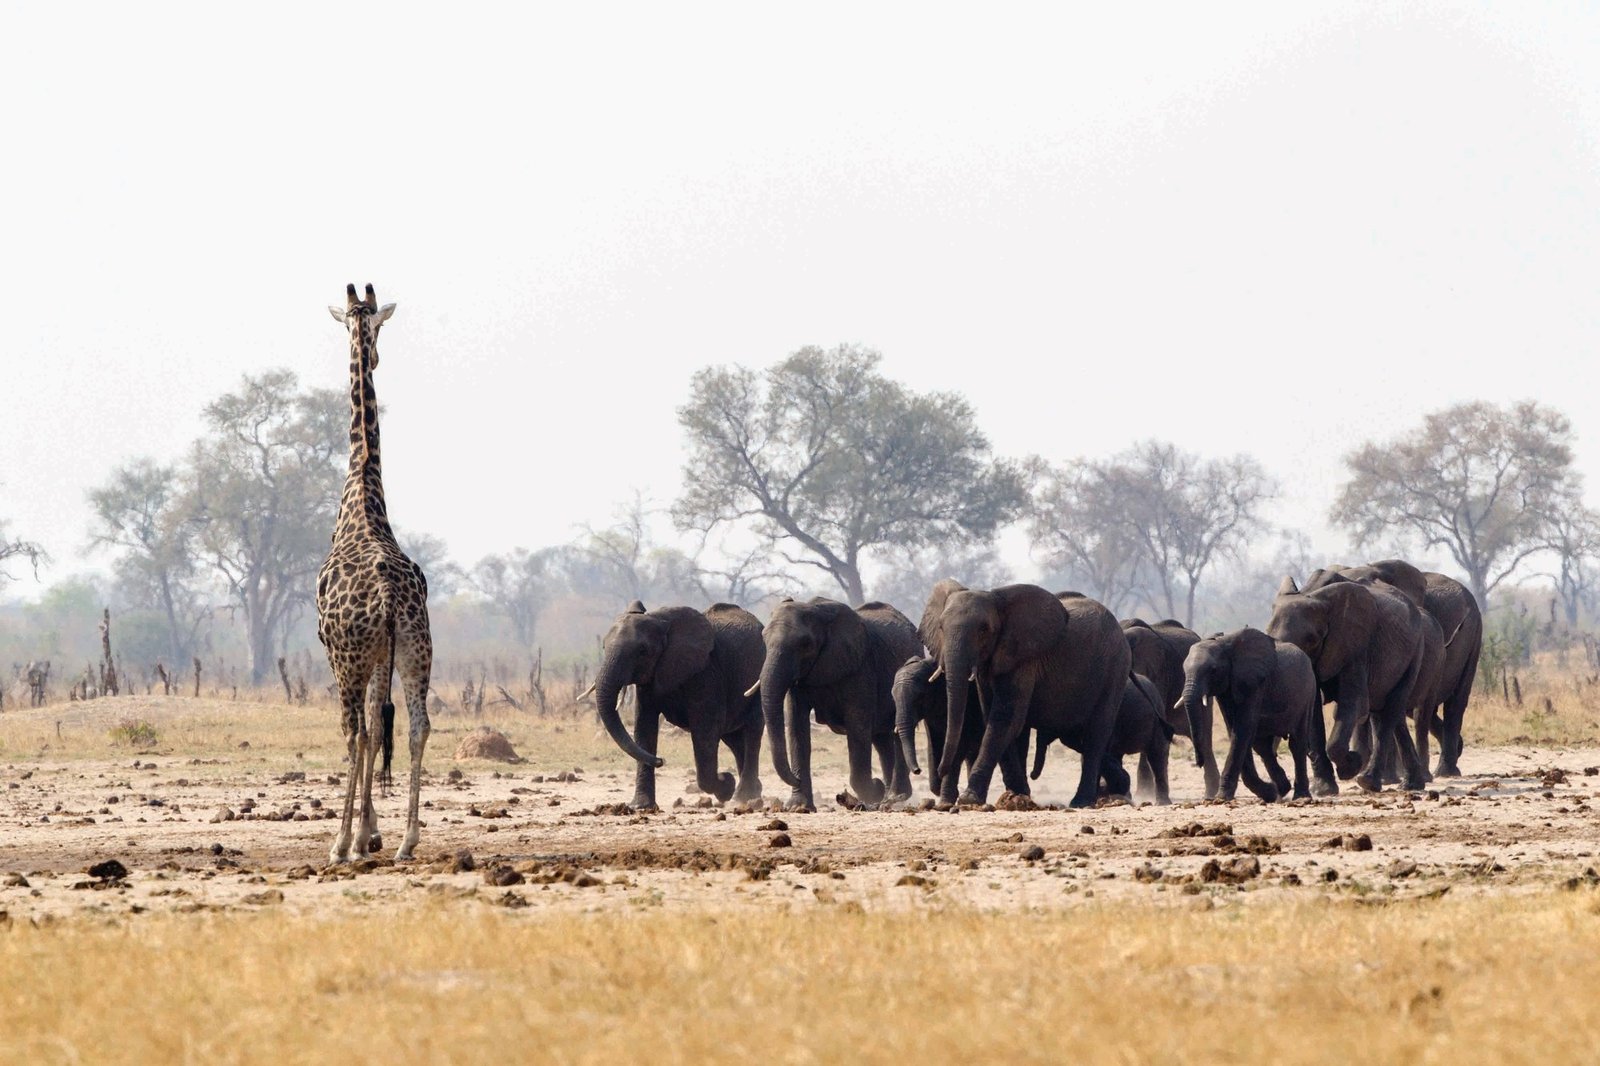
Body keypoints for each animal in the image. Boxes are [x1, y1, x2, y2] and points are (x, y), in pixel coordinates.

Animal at [593, 601, 765, 810]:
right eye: (603, 647)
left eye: (642, 651)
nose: (660, 760)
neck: (660, 621)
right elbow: (644, 727)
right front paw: (640, 807)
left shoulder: (706, 672)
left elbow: (705, 730)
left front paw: (726, 785)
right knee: (735, 739)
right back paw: (751, 794)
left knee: (752, 730)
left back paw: (742, 797)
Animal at [754, 598, 922, 811]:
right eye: (764, 639)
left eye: (805, 644)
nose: (795, 778)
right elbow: (796, 726)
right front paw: (799, 807)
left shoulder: (860, 667)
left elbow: (857, 727)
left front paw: (872, 793)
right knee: (881, 738)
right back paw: (889, 797)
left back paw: (893, 796)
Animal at [915, 581, 1129, 808]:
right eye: (940, 627)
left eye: (984, 630)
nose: (940, 771)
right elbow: (997, 719)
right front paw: (1018, 795)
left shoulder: (1024, 659)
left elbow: (1004, 719)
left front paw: (969, 799)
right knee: (1076, 737)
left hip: (1116, 668)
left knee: (1095, 735)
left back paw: (1081, 802)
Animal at [1180, 627, 1337, 802]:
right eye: (1184, 670)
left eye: (1213, 670)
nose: (1198, 763)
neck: (1223, 643)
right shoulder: (1227, 688)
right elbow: (1234, 728)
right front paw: (1269, 792)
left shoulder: (1254, 683)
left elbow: (1243, 728)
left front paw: (1221, 798)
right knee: (1262, 746)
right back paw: (1281, 789)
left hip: (1308, 693)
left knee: (1297, 743)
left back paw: (1300, 797)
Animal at [1267, 574, 1427, 793]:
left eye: (1311, 639)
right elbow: (1313, 711)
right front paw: (1324, 790)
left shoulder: (1356, 646)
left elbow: (1355, 704)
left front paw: (1351, 766)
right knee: (1389, 714)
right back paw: (1412, 785)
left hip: (1415, 652)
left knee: (1391, 710)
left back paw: (1368, 781)